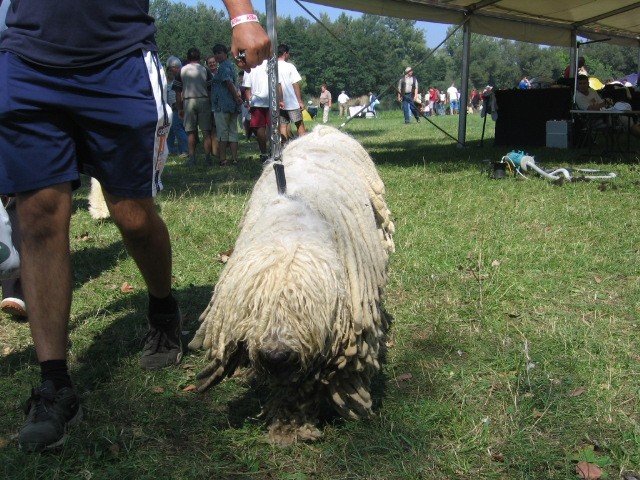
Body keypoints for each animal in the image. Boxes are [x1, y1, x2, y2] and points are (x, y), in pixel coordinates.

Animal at [188, 124, 392, 446]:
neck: (291, 224)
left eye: (301, 309)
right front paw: (288, 425)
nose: (276, 354)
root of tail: (323, 129)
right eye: (255, 309)